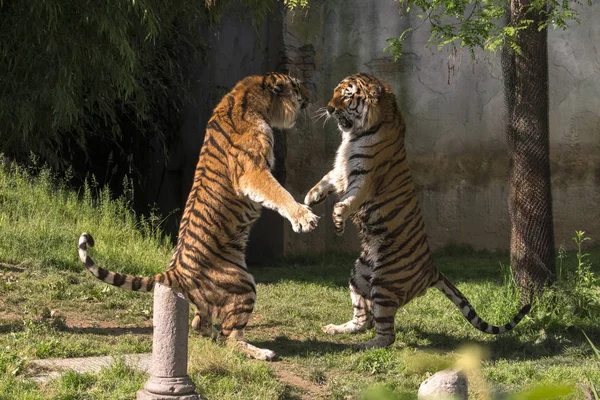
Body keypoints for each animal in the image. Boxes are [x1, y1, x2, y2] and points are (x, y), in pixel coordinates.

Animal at [79, 72, 318, 362]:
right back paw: (261, 352)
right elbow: (280, 193)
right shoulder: (253, 171)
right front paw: (304, 218)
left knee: (198, 323)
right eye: (297, 86)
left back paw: (215, 336)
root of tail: (175, 271)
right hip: (244, 284)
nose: (310, 96)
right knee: (231, 338)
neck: (249, 99)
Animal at [304, 72, 528, 350]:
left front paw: (337, 219)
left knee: (386, 335)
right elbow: (325, 180)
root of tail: (432, 269)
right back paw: (336, 329)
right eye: (336, 92)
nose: (329, 108)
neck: (357, 133)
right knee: (364, 319)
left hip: (385, 282)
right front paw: (310, 197)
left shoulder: (364, 178)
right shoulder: (340, 171)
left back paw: (364, 345)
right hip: (360, 274)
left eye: (346, 95)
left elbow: (347, 201)